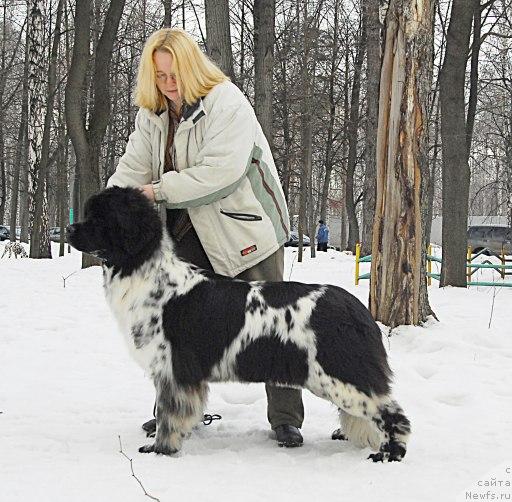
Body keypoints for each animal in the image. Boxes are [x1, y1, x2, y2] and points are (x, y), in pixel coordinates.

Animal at [68, 186, 412, 460]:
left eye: (98, 218)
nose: (70, 229)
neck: (148, 274)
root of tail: (357, 308)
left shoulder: (174, 370)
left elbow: (169, 415)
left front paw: (161, 449)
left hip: (340, 374)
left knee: (393, 413)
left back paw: (389, 454)